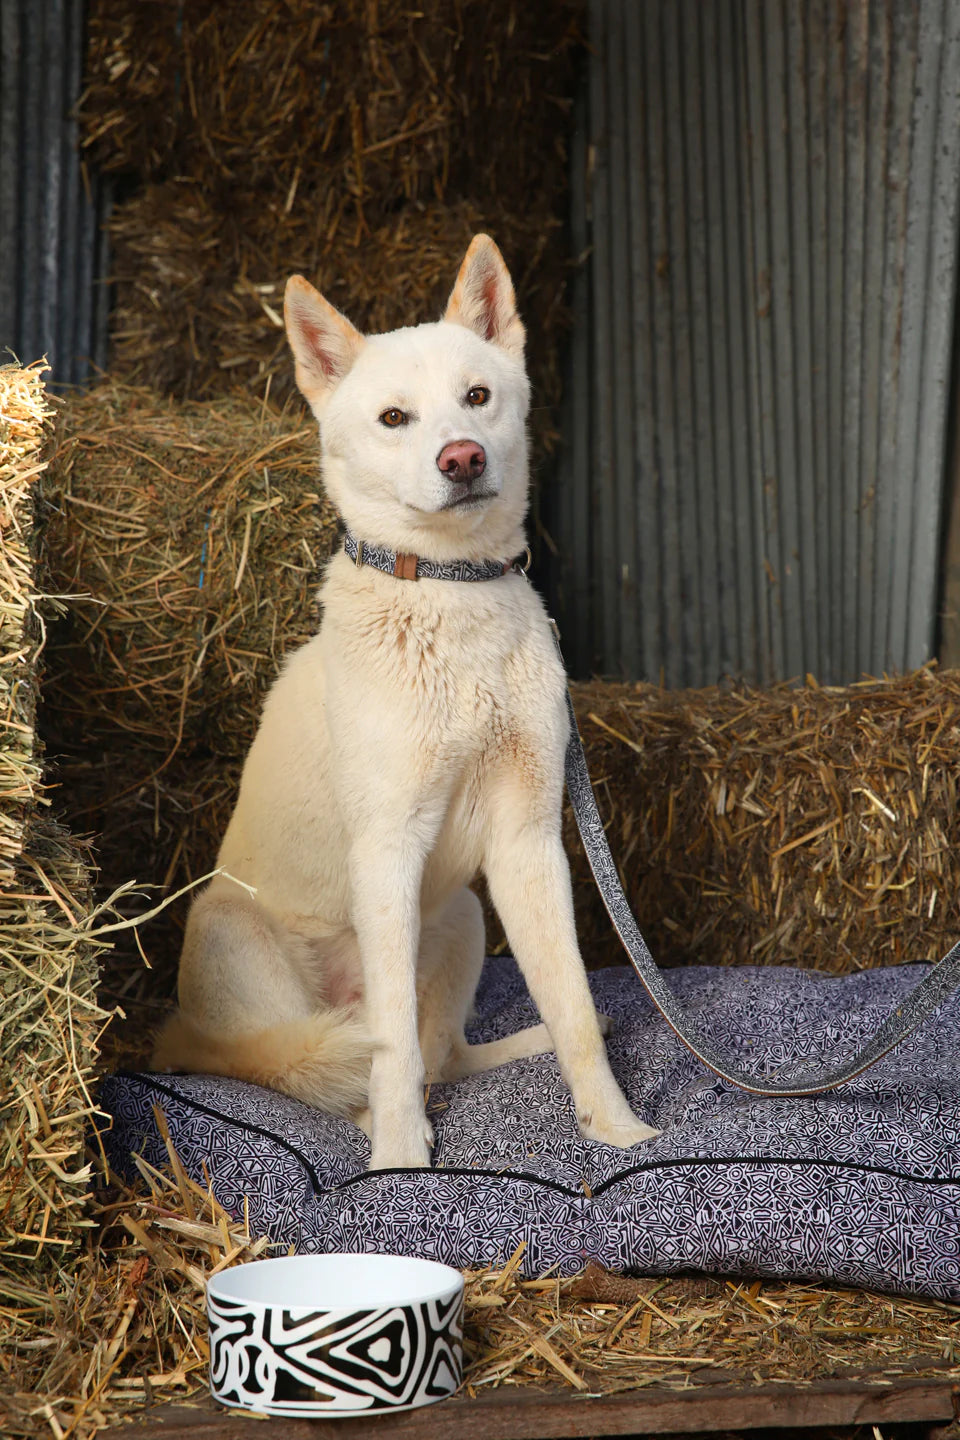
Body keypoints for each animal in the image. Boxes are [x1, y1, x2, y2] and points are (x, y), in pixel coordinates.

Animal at [151, 227, 662, 1169]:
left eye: (478, 397)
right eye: (395, 419)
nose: (462, 458)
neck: (453, 594)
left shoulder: (529, 843)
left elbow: (572, 1005)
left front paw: (616, 1130)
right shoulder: (388, 848)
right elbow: (392, 1046)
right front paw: (397, 1163)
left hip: (460, 911)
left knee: (446, 1049)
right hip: (235, 931)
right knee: (332, 1060)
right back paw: (364, 1113)